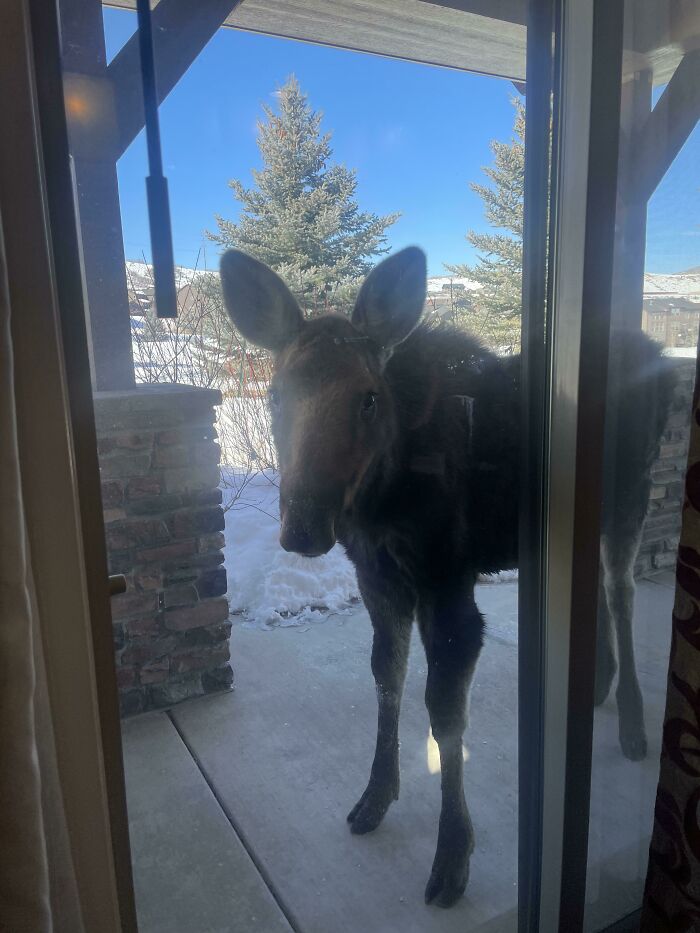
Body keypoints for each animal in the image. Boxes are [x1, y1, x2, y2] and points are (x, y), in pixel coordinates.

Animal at [220, 245, 674, 908]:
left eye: (368, 398)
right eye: (276, 394)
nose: (302, 526)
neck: (380, 504)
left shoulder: (447, 582)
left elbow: (444, 712)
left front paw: (453, 857)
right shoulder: (378, 581)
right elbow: (387, 679)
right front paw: (374, 797)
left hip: (629, 498)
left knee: (622, 592)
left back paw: (636, 724)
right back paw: (598, 686)